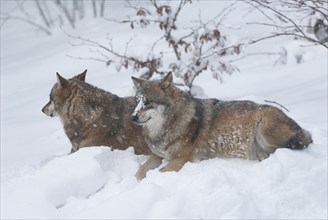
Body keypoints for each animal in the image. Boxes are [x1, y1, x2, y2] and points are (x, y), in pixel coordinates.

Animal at [130, 73, 312, 180]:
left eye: (148, 102)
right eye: (137, 101)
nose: (132, 117)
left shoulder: (182, 159)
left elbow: (158, 173)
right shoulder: (157, 155)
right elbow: (138, 173)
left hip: (265, 127)